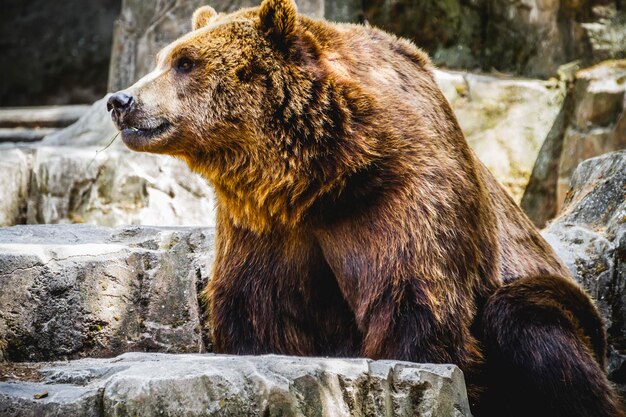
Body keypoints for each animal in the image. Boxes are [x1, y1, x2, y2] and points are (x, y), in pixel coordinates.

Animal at [106, 1, 620, 414]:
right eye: (165, 58)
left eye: (185, 62)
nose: (119, 100)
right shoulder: (263, 224)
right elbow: (258, 307)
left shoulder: (404, 197)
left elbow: (412, 301)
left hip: (568, 308)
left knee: (526, 322)